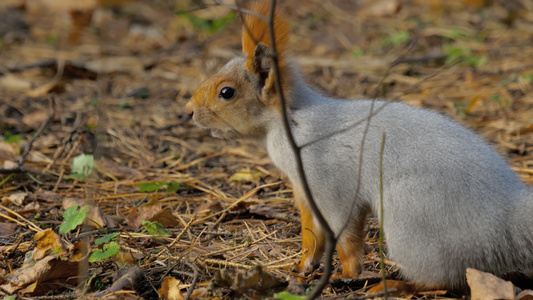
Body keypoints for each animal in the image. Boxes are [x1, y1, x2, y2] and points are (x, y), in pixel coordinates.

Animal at [185, 0, 532, 290]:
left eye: (227, 92)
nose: (188, 111)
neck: (291, 122)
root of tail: (505, 218)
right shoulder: (304, 190)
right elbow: (312, 235)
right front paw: (301, 268)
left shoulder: (329, 184)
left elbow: (344, 233)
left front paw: (348, 273)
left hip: (413, 213)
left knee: (443, 278)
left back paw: (396, 286)